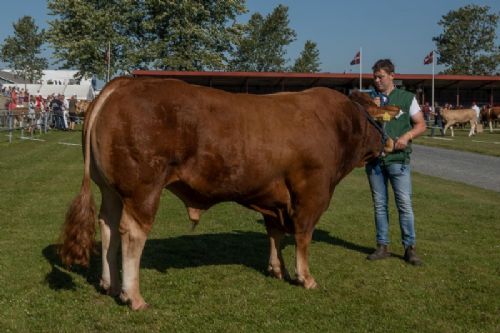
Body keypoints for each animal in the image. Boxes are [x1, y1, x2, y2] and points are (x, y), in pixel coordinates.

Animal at [59, 77, 394, 308]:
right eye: (375, 118)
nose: (388, 143)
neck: (337, 124)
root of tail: (124, 83)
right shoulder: (311, 192)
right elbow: (302, 236)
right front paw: (306, 278)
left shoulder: (273, 196)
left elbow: (275, 233)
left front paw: (277, 269)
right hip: (143, 188)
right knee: (131, 233)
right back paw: (134, 296)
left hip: (111, 190)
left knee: (108, 227)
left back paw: (110, 285)